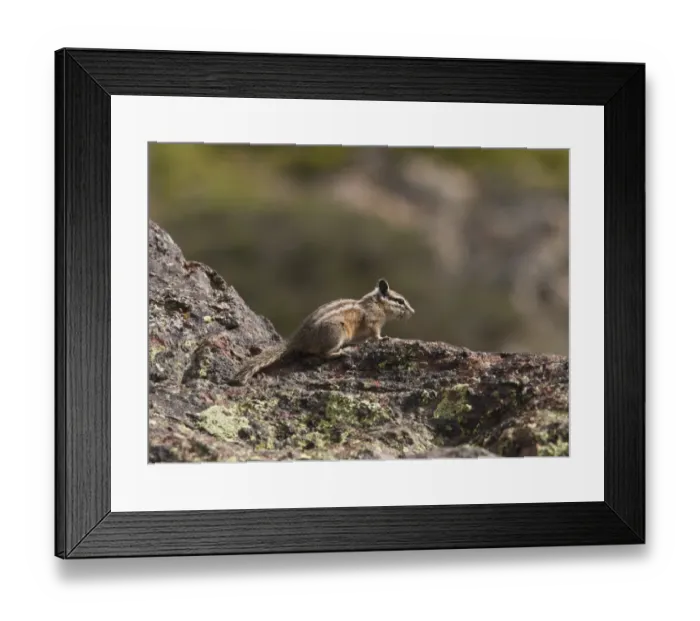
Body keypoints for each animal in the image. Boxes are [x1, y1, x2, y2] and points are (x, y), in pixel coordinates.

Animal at [232, 278, 415, 384]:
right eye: (400, 301)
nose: (413, 312)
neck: (377, 304)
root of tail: (298, 338)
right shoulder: (373, 321)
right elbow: (375, 334)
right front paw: (383, 339)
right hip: (337, 332)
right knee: (323, 354)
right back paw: (342, 352)